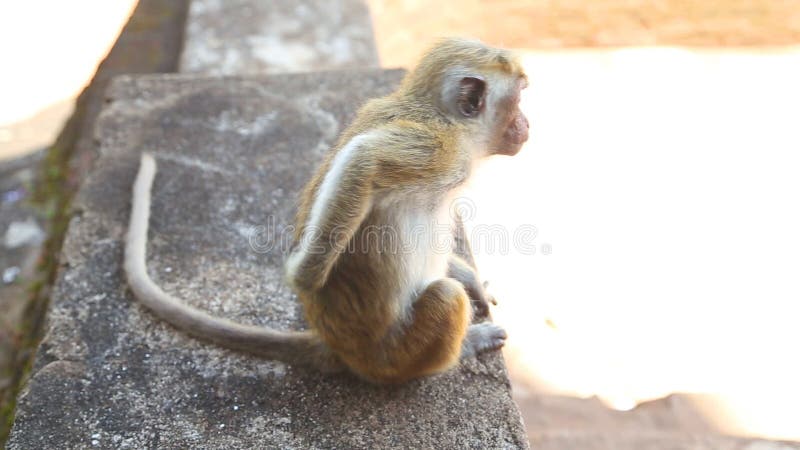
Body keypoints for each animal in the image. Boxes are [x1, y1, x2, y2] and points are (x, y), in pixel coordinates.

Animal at [125, 38, 528, 384]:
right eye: (520, 95)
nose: (527, 123)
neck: (449, 119)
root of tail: (340, 350)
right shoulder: (441, 149)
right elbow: (363, 159)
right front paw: (303, 278)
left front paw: (473, 279)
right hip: (396, 355)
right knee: (444, 298)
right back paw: (461, 349)